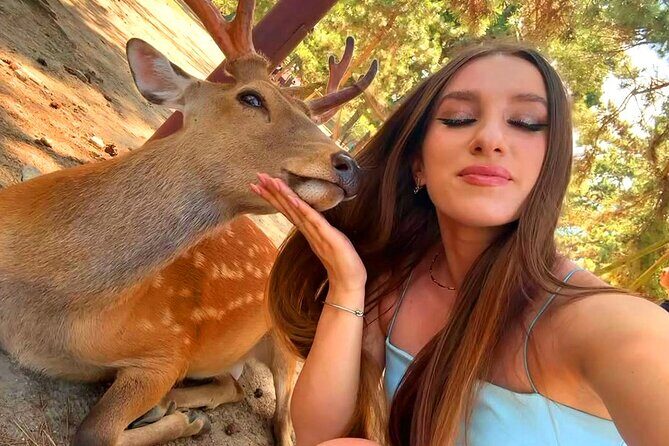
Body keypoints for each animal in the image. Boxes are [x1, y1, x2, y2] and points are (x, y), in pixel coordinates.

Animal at [0, 0, 377, 444]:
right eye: (251, 98)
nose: (350, 165)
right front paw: (177, 413)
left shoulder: (170, 345)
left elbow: (95, 431)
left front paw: (179, 418)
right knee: (234, 384)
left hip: (288, 341)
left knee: (283, 420)